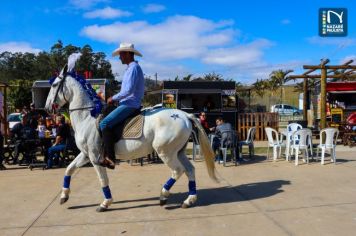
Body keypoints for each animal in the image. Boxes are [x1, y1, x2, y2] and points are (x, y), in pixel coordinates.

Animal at [44, 64, 217, 210]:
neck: (87, 116)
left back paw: (163, 195)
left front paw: (106, 203)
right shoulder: (86, 154)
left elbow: (103, 180)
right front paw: (64, 196)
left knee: (177, 171)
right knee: (190, 170)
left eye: (54, 85)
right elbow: (69, 169)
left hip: (165, 152)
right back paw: (189, 200)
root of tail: (184, 115)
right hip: (178, 152)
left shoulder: (95, 157)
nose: (46, 108)